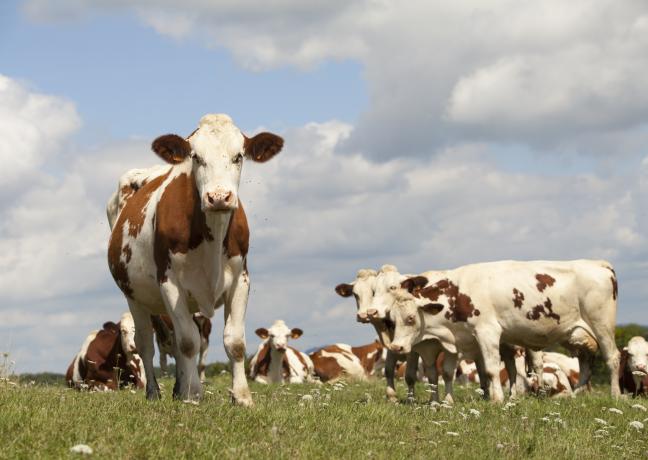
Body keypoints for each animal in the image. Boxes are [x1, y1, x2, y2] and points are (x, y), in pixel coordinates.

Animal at [107, 114, 283, 405]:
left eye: (238, 156)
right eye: (196, 157)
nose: (219, 197)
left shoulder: (241, 279)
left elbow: (234, 342)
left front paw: (242, 397)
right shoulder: (169, 283)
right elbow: (188, 342)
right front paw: (192, 395)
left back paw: (182, 388)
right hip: (135, 297)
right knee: (146, 345)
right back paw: (156, 392)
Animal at [335, 266, 425, 401]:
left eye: (373, 293)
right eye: (355, 294)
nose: (364, 315)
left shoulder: (413, 350)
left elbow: (409, 375)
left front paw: (410, 400)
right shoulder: (391, 347)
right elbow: (388, 370)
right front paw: (392, 397)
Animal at [385, 259, 620, 402]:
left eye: (410, 318)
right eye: (392, 320)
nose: (396, 347)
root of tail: (599, 264)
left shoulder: (487, 332)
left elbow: (490, 370)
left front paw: (497, 399)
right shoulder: (457, 340)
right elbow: (449, 371)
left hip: (601, 325)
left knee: (613, 358)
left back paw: (616, 395)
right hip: (577, 334)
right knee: (586, 363)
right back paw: (576, 395)